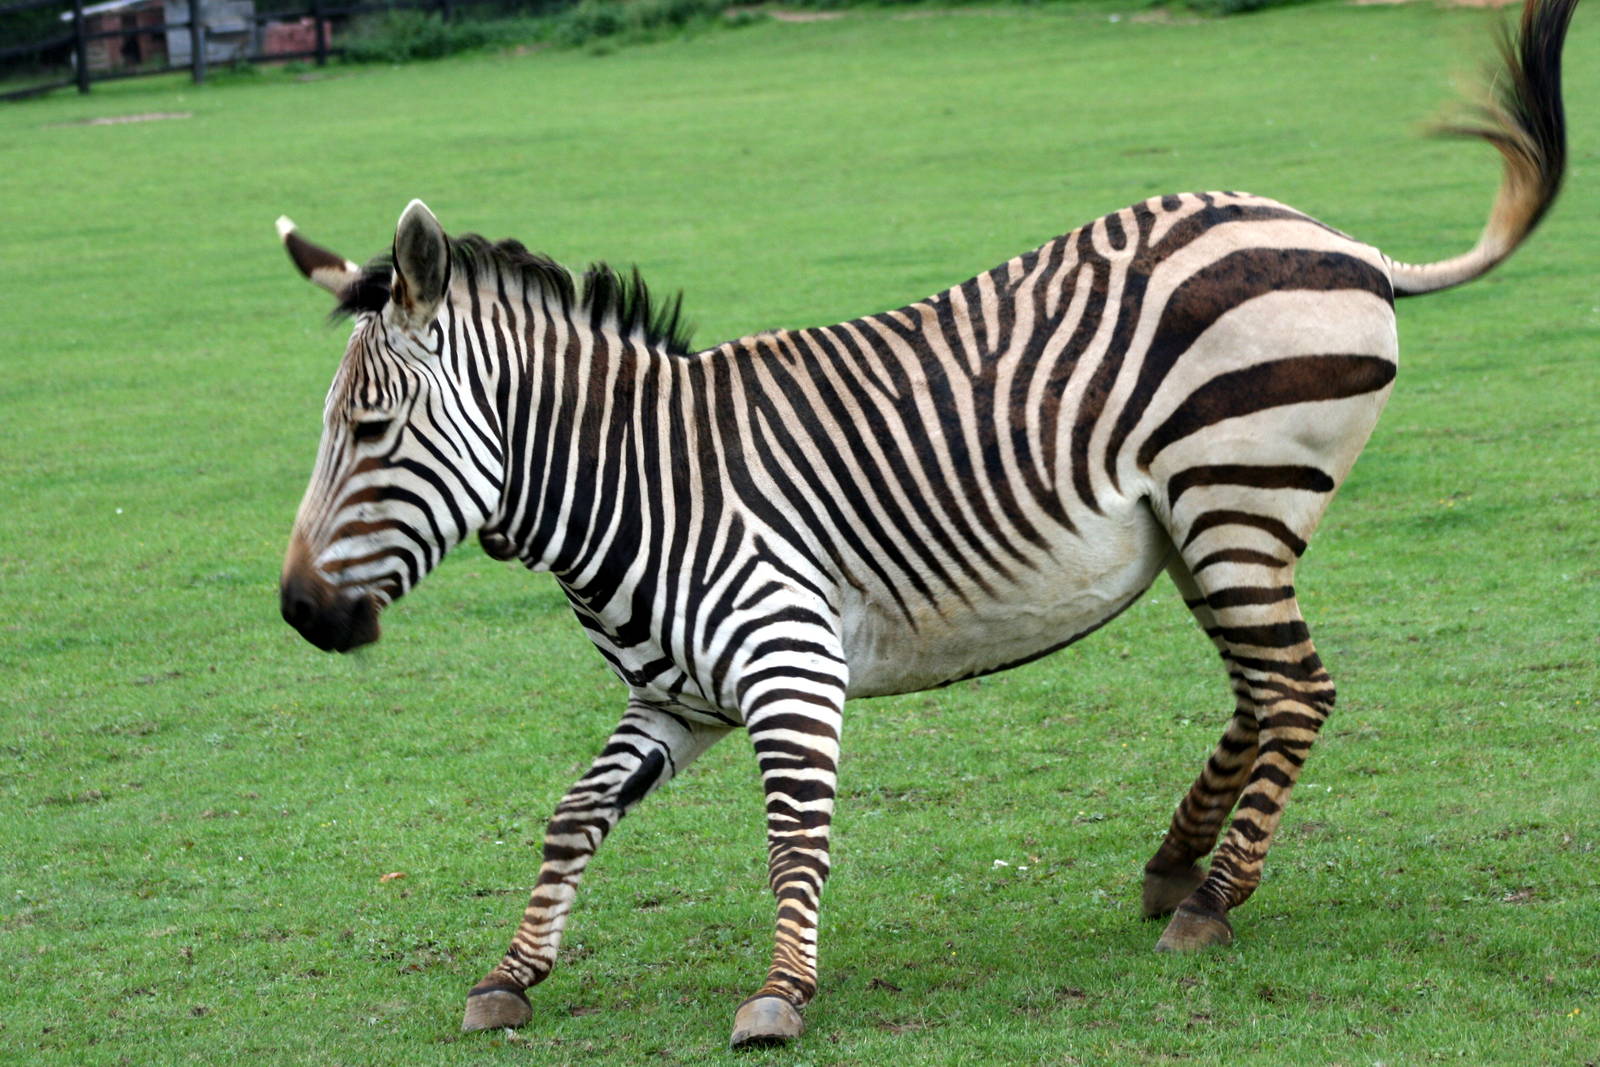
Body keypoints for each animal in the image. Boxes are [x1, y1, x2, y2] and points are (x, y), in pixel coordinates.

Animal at [276, 0, 1575, 1047]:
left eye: (371, 428)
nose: (295, 611)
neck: (639, 479)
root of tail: (1346, 243)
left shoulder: (788, 664)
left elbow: (793, 833)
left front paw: (780, 994)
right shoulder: (677, 696)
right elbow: (572, 813)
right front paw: (512, 972)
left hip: (1234, 499)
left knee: (1296, 691)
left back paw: (1209, 902)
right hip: (1205, 529)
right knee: (1261, 691)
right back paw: (1171, 866)